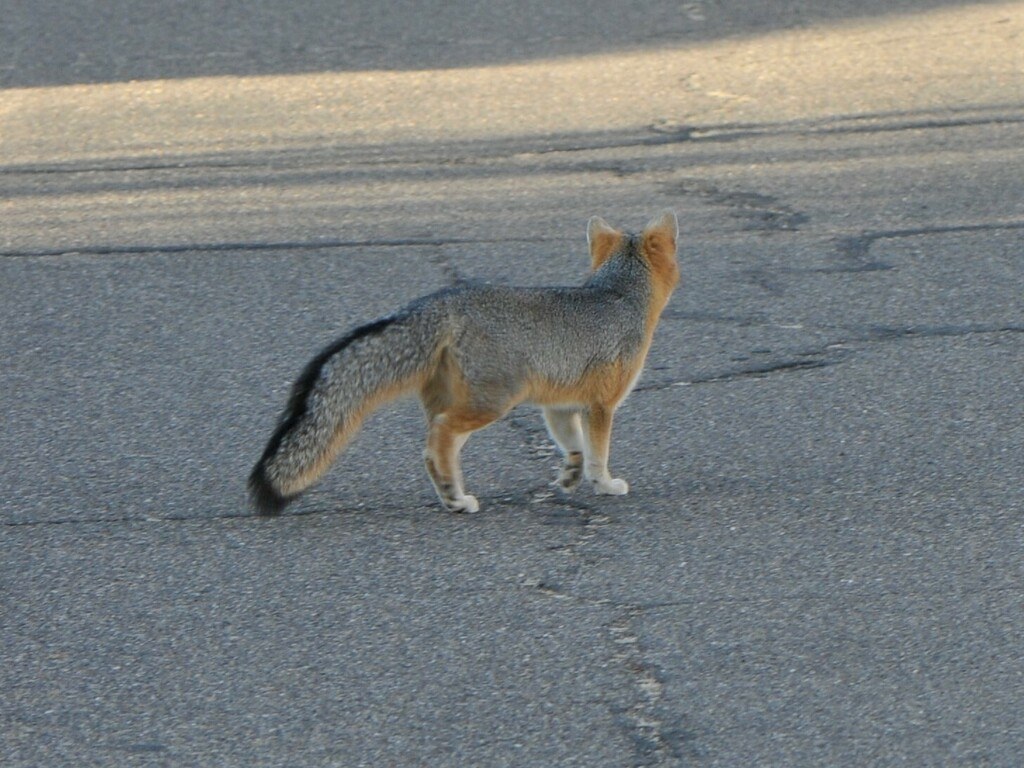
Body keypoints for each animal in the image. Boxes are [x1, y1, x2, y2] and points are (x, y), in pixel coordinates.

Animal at [249, 211, 680, 514]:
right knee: (439, 434)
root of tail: (443, 300)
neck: (617, 296)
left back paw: (452, 496)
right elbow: (598, 454)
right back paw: (454, 495)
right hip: (492, 403)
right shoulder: (600, 406)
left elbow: (573, 447)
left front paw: (571, 475)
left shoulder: (559, 407)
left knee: (434, 450)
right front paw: (604, 483)